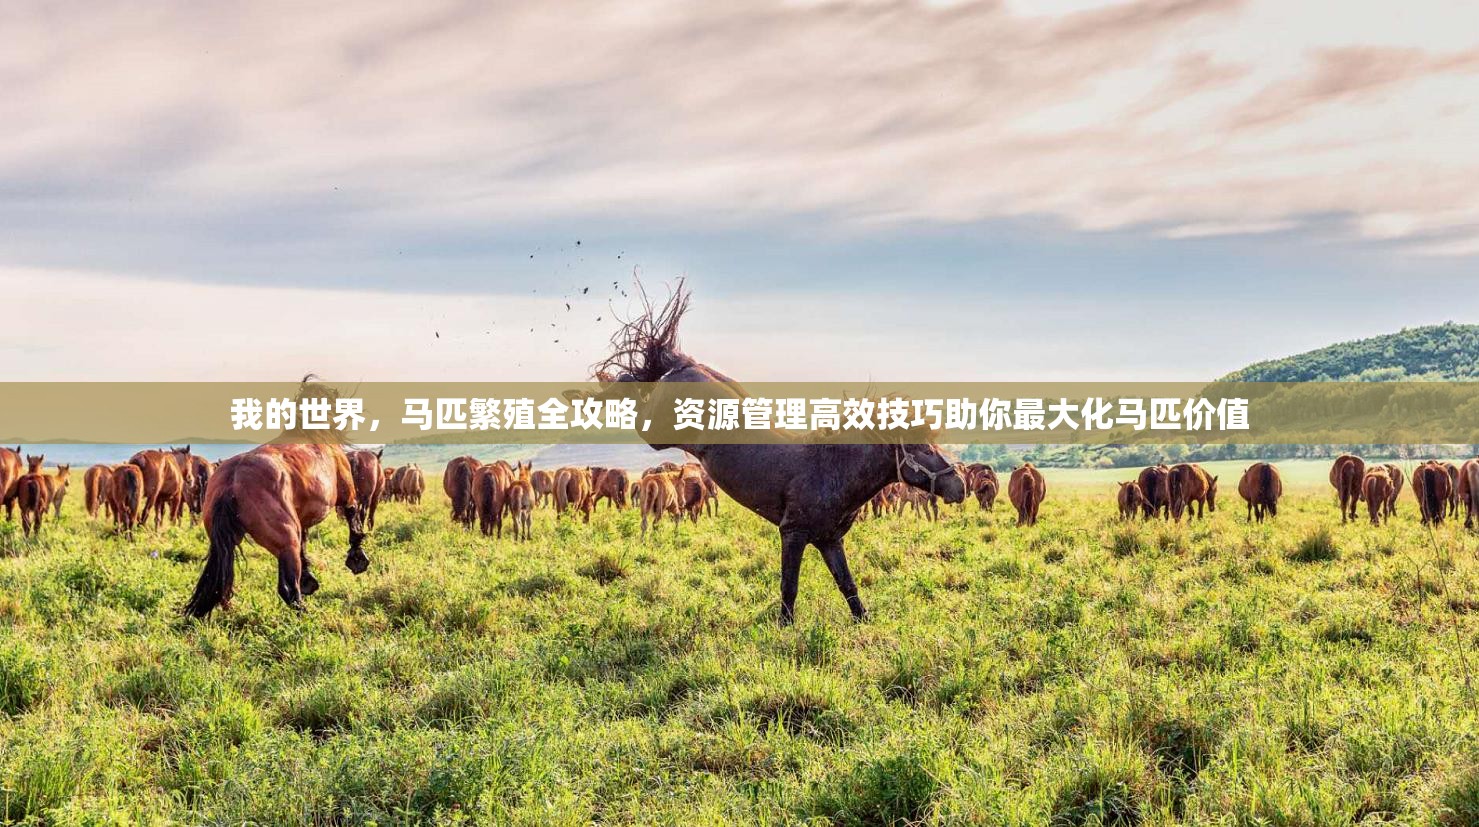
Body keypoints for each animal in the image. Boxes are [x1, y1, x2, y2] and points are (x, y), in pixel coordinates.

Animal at [184, 443, 367, 617]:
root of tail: (231, 483)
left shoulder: (301, 519)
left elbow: (304, 542)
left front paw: (308, 579)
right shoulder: (347, 494)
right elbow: (353, 518)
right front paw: (357, 558)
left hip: (228, 545)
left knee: (223, 585)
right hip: (286, 544)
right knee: (287, 588)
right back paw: (309, 616)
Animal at [589, 282, 964, 624]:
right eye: (920, 448)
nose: (959, 486)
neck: (833, 470)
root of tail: (682, 364)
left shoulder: (829, 541)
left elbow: (848, 586)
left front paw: (863, 623)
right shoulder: (793, 534)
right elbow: (789, 587)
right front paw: (785, 627)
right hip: (656, 432)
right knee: (633, 391)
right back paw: (597, 384)